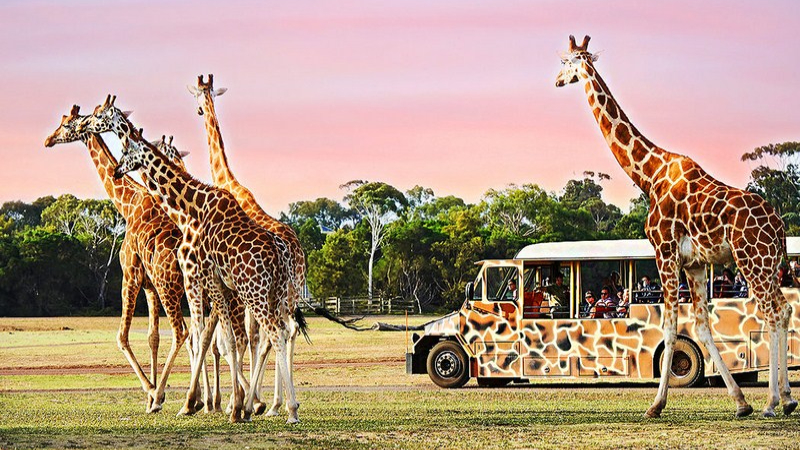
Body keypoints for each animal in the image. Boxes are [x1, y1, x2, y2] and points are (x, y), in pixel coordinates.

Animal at [45, 103, 191, 414]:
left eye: (66, 124)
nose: (48, 140)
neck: (128, 203)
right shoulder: (148, 285)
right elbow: (152, 337)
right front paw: (151, 396)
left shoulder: (131, 275)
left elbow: (122, 337)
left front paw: (153, 394)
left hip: (171, 286)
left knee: (184, 332)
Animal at [189, 74, 308, 418]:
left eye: (199, 99)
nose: (199, 111)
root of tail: (297, 252)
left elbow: (239, 339)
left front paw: (239, 400)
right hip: (289, 292)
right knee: (286, 331)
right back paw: (281, 403)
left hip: (271, 293)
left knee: (273, 333)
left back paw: (273, 404)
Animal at [560, 35, 796, 418]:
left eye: (565, 62)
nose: (556, 80)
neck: (649, 174)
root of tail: (778, 225)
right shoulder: (696, 263)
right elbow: (701, 326)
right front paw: (740, 402)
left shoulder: (665, 252)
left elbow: (670, 328)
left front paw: (655, 405)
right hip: (768, 263)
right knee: (785, 309)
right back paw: (786, 398)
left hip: (751, 261)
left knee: (773, 313)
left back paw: (774, 402)